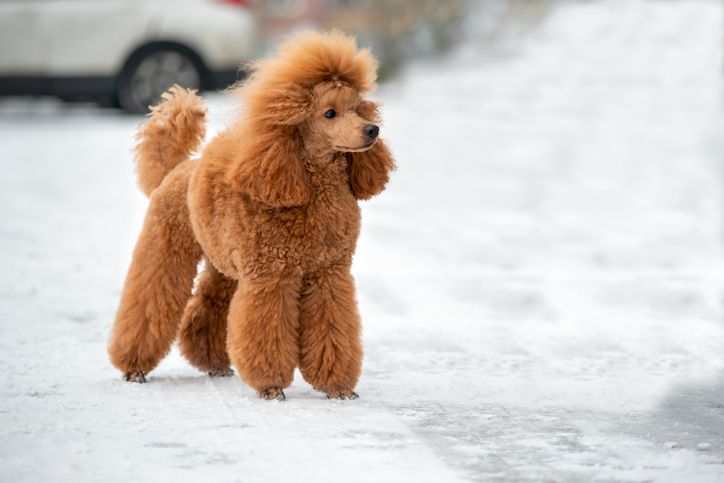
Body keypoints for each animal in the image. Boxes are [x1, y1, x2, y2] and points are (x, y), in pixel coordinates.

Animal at [107, 31, 396, 400]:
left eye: (358, 108)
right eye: (329, 113)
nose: (372, 130)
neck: (308, 184)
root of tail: (174, 170)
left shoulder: (329, 274)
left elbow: (332, 327)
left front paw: (338, 388)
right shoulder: (270, 277)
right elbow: (266, 330)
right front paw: (271, 387)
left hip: (223, 265)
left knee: (209, 304)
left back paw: (214, 363)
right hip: (167, 246)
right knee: (150, 297)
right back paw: (134, 367)